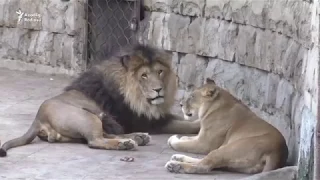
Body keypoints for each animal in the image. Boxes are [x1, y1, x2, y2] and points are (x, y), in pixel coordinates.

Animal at [0, 44, 200, 156]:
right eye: (144, 75)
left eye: (160, 72)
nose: (158, 89)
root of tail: (37, 118)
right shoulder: (151, 121)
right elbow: (188, 125)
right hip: (87, 117)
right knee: (95, 141)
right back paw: (126, 143)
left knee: (106, 135)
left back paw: (137, 138)